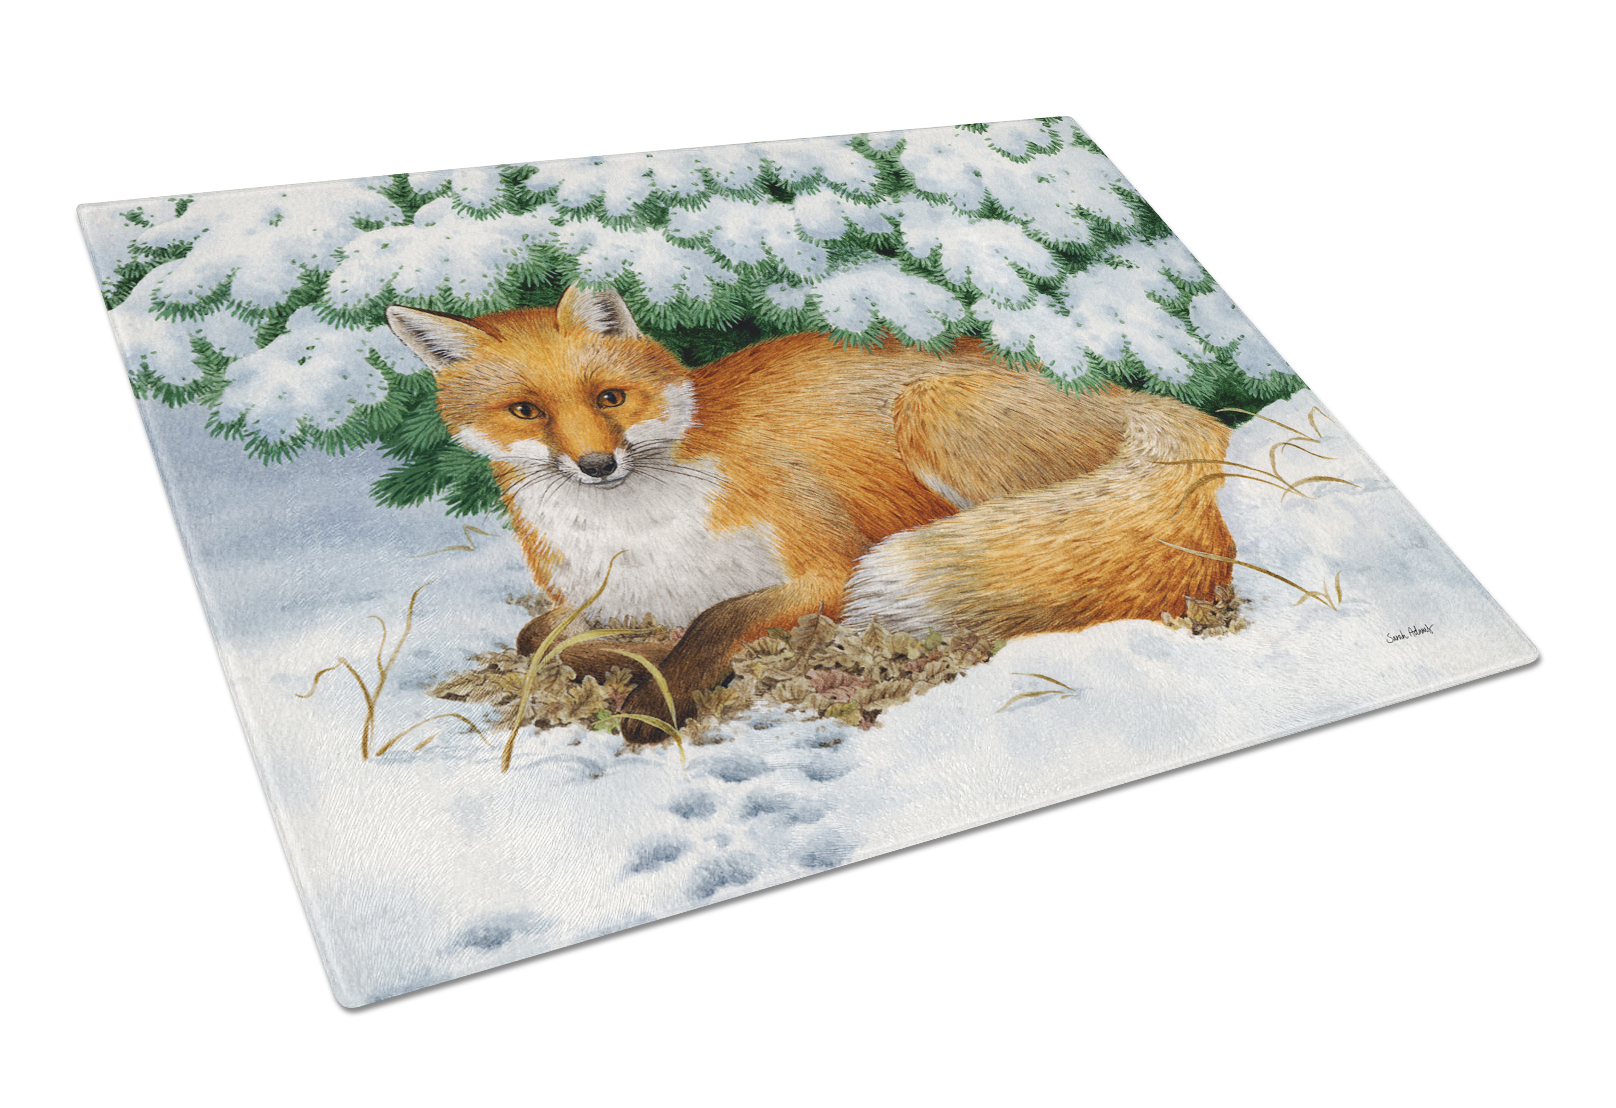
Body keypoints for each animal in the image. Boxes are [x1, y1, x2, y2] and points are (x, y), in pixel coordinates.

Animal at [386, 285, 1236, 743]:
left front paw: (658, 699)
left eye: (611, 398)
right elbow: (537, 639)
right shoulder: (591, 598)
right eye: (526, 412)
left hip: (930, 410)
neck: (641, 533)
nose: (598, 466)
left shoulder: (828, 567)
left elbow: (717, 620)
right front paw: (635, 660)